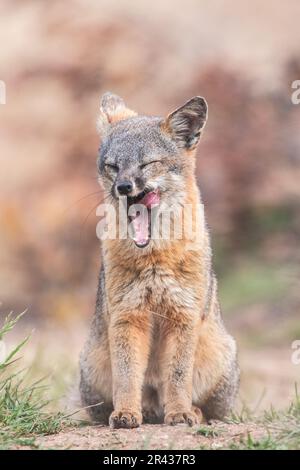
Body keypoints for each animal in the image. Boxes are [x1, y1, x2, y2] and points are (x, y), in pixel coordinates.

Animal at [79, 92, 239, 430]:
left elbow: (177, 376)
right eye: (113, 166)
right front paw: (126, 413)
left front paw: (179, 413)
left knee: (207, 408)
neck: (153, 260)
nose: (123, 187)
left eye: (148, 164)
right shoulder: (128, 316)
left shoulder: (183, 316)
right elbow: (127, 376)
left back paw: (191, 411)